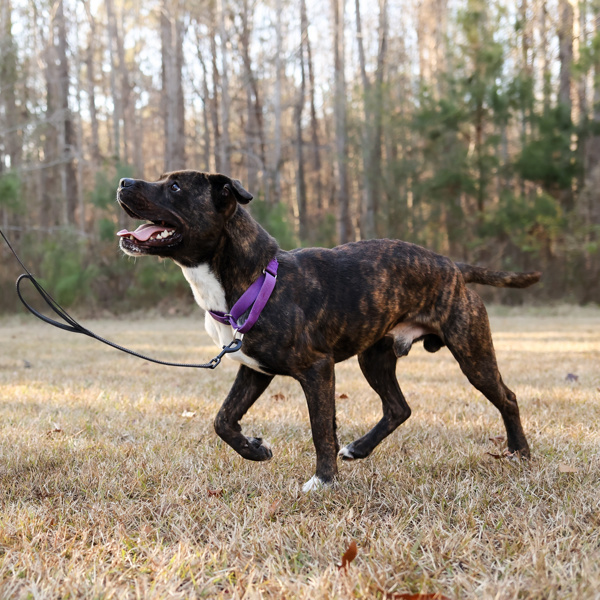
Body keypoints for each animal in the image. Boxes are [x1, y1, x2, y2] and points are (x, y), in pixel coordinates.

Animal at [116, 171, 540, 490]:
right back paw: (359, 449)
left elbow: (320, 429)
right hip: (375, 357)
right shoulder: (254, 370)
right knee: (398, 407)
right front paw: (254, 448)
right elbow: (222, 420)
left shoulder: (317, 370)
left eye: (174, 186)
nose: (123, 181)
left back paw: (520, 452)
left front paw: (323, 481)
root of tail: (453, 266)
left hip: (472, 353)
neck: (254, 276)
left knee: (508, 397)